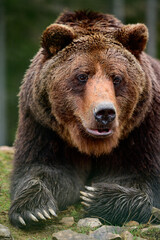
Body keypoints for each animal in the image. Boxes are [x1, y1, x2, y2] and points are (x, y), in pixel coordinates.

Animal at [9, 11, 160, 229]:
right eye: (82, 76)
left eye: (116, 77)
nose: (105, 113)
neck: (92, 145)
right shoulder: (44, 126)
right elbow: (42, 169)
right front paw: (33, 209)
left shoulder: (142, 128)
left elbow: (143, 180)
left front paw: (96, 195)